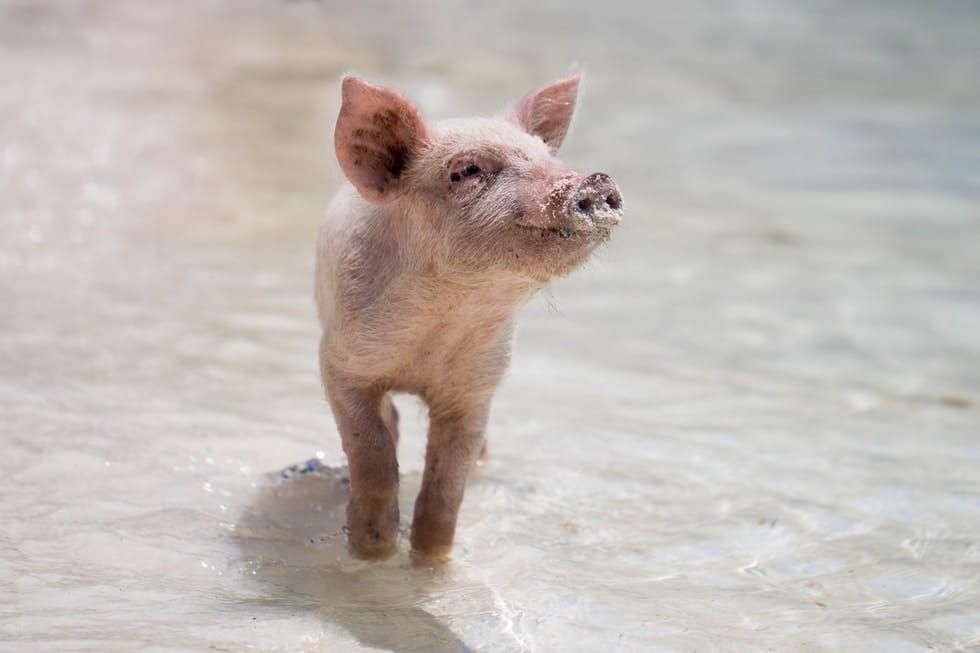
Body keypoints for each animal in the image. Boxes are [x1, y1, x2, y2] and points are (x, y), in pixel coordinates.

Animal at [315, 70, 623, 560]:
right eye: (466, 171)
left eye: (546, 156)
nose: (594, 181)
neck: (442, 320)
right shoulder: (340, 362)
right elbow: (373, 452)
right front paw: (372, 549)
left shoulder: (477, 386)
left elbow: (447, 485)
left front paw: (429, 559)